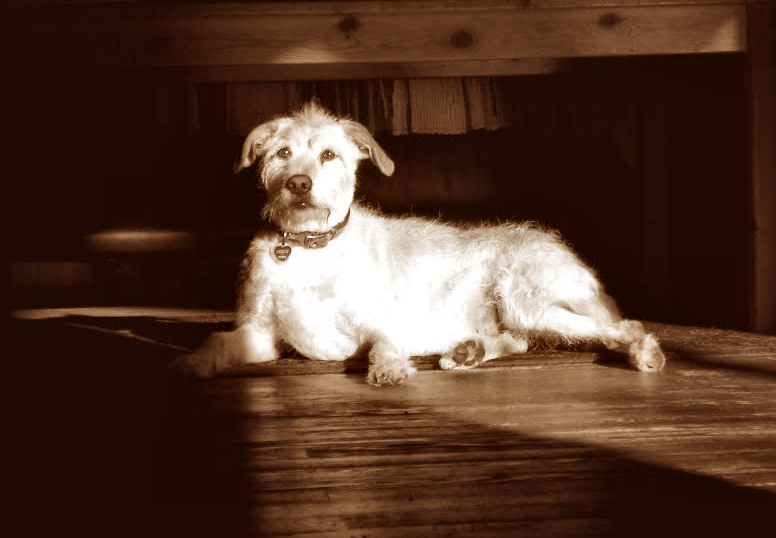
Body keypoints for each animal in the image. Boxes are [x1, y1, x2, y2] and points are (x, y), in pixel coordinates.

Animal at [176, 102, 668, 384]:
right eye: (281, 153)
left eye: (329, 155)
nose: (299, 184)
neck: (310, 247)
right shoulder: (260, 335)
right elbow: (220, 342)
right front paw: (193, 363)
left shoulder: (379, 320)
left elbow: (384, 342)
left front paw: (389, 368)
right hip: (523, 315)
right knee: (521, 341)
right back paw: (469, 351)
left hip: (526, 299)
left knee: (625, 327)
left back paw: (646, 353)